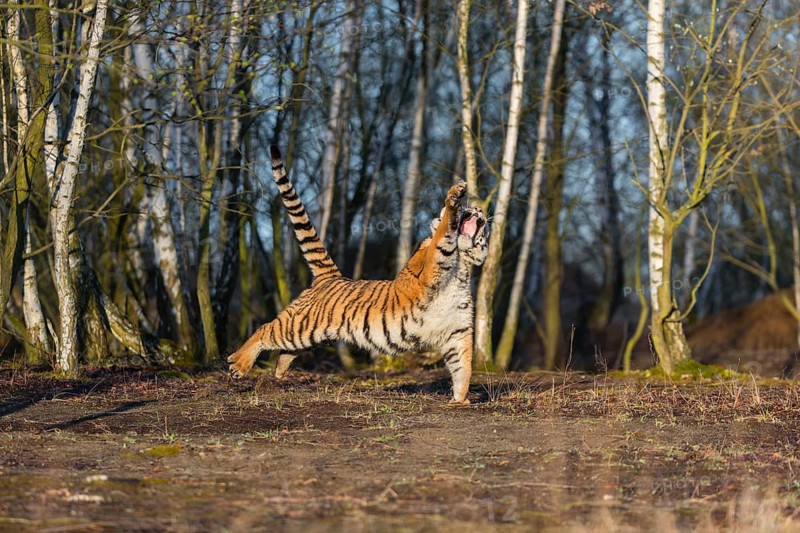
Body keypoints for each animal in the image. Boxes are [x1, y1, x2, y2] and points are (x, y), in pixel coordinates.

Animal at [227, 145, 488, 403]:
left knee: (286, 350)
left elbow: (463, 368)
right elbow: (445, 228)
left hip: (311, 334)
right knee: (265, 329)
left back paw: (279, 372)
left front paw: (460, 399)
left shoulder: (458, 331)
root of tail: (331, 277)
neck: (462, 268)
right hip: (299, 325)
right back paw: (238, 364)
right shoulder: (434, 260)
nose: (478, 209)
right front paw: (455, 196)